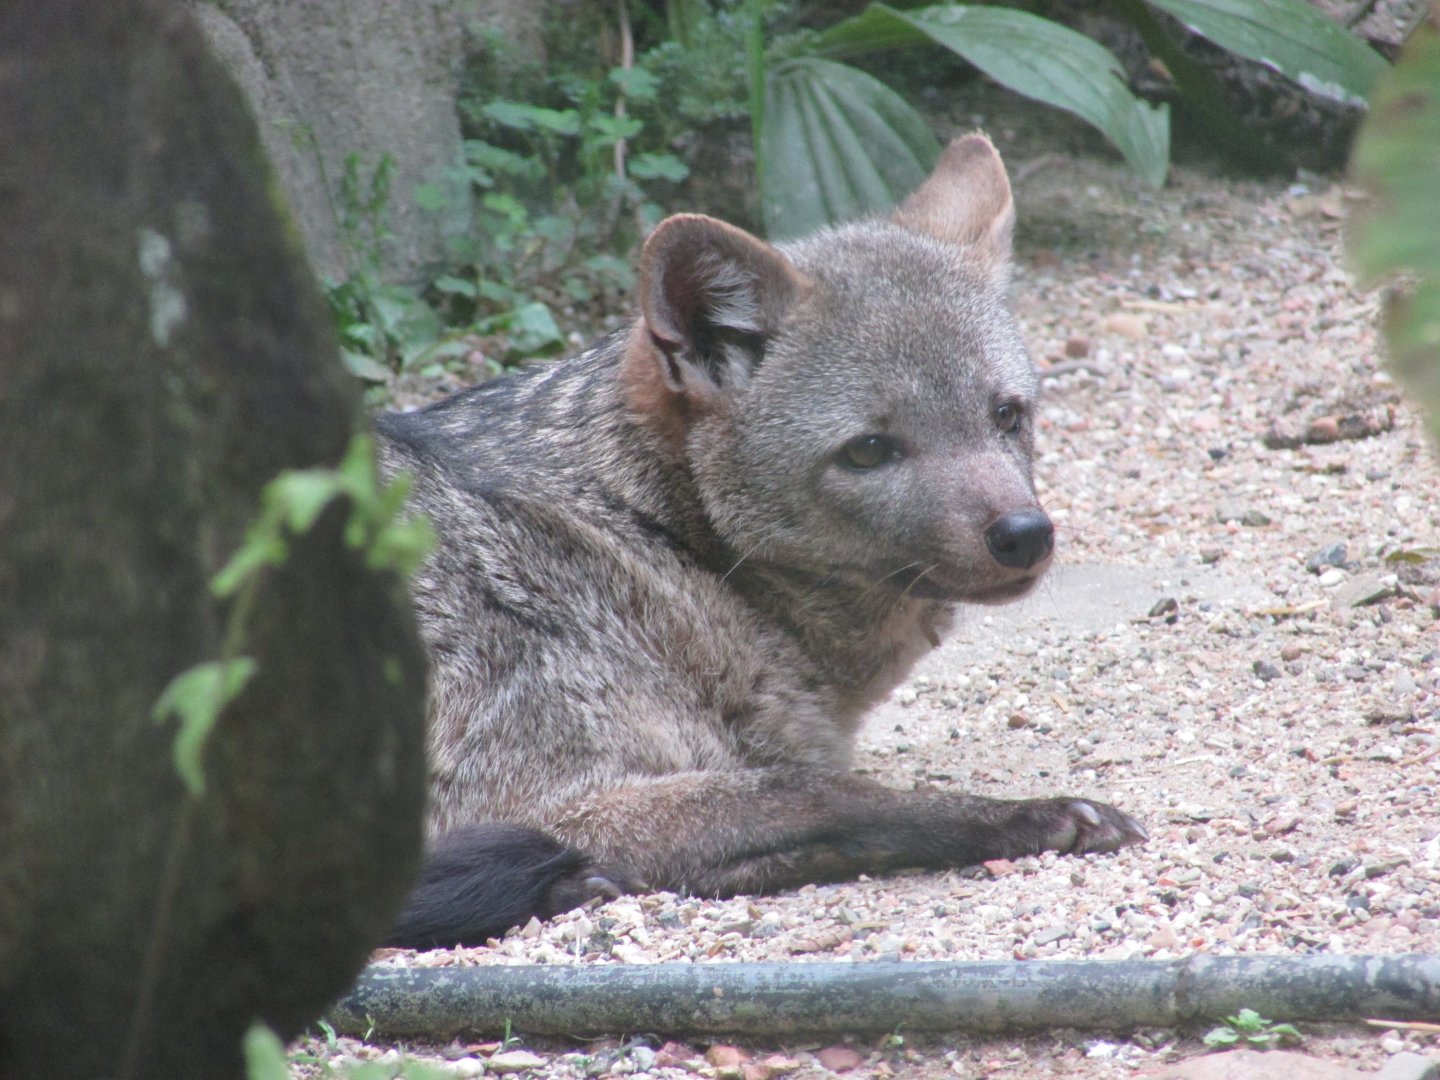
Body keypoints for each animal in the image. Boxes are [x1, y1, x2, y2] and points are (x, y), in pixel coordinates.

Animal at [376, 133, 1146, 949]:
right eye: (869, 451)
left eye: (1007, 415)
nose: (1025, 535)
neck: (649, 542)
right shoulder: (560, 801)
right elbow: (832, 795)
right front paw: (1031, 816)